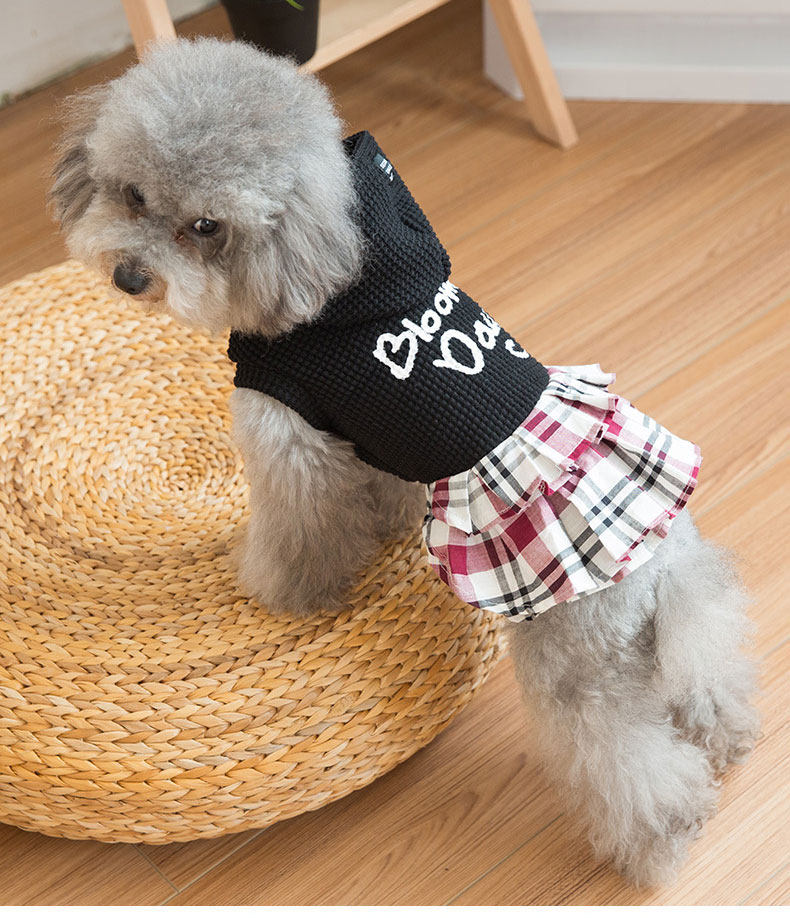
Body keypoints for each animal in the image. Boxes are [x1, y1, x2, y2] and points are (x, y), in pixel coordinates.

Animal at [50, 38, 759, 887]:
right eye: (130, 193)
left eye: (205, 225)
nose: (131, 277)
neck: (331, 268)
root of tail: (655, 567)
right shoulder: (363, 438)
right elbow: (380, 494)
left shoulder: (290, 437)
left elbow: (298, 541)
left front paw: (270, 587)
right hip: (679, 633)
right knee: (707, 680)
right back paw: (730, 735)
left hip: (576, 663)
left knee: (631, 761)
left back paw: (658, 844)